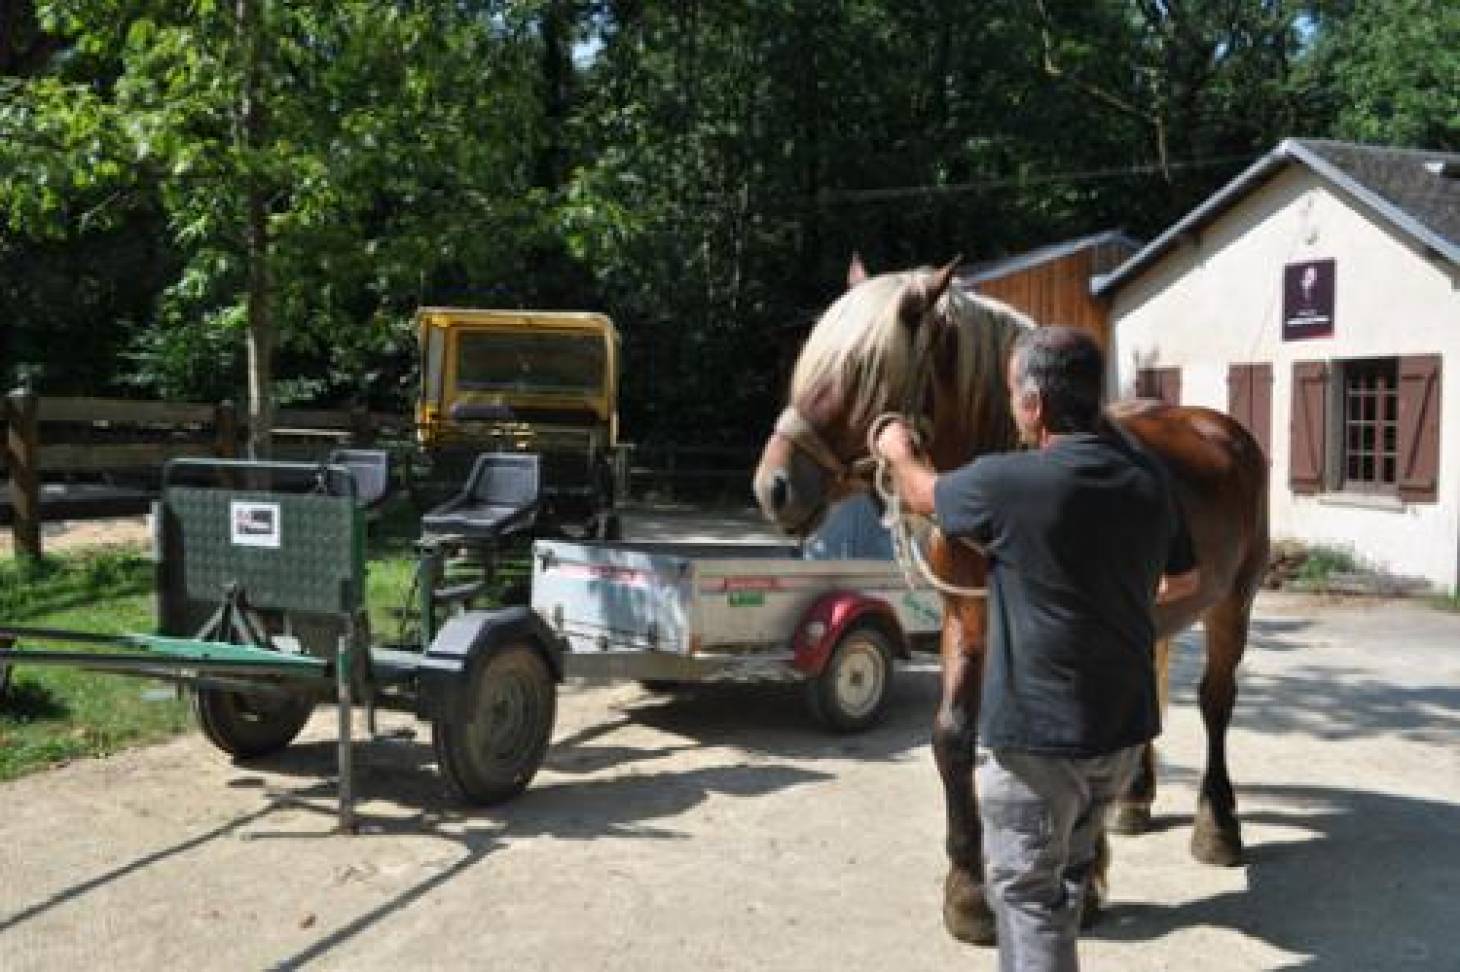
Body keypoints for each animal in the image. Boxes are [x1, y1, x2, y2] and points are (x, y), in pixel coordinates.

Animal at [753, 255, 1267, 939]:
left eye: (861, 373)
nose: (773, 487)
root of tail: (1221, 428)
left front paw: (1088, 882)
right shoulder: (968, 617)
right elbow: (952, 736)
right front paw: (969, 892)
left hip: (1234, 600)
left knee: (1215, 703)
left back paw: (1218, 826)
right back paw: (1135, 801)